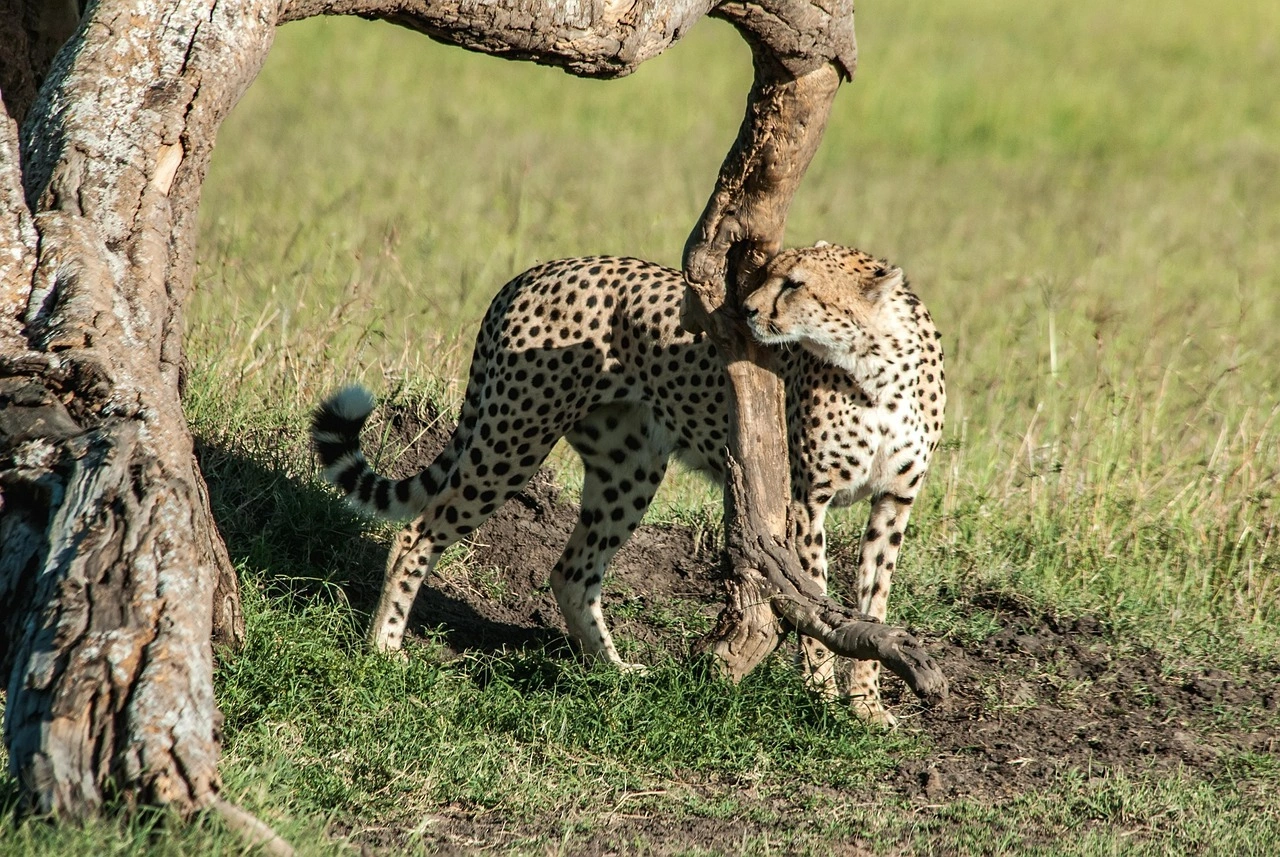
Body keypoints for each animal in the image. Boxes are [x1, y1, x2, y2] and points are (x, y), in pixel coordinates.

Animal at [311, 242, 945, 724]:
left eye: (795, 284)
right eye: (766, 274)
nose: (744, 312)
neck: (876, 368)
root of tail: (536, 270)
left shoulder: (894, 503)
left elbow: (872, 604)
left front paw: (866, 704)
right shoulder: (804, 502)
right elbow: (816, 603)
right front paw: (824, 695)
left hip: (628, 468)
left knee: (572, 570)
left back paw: (612, 672)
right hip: (516, 436)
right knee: (416, 532)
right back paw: (385, 645)